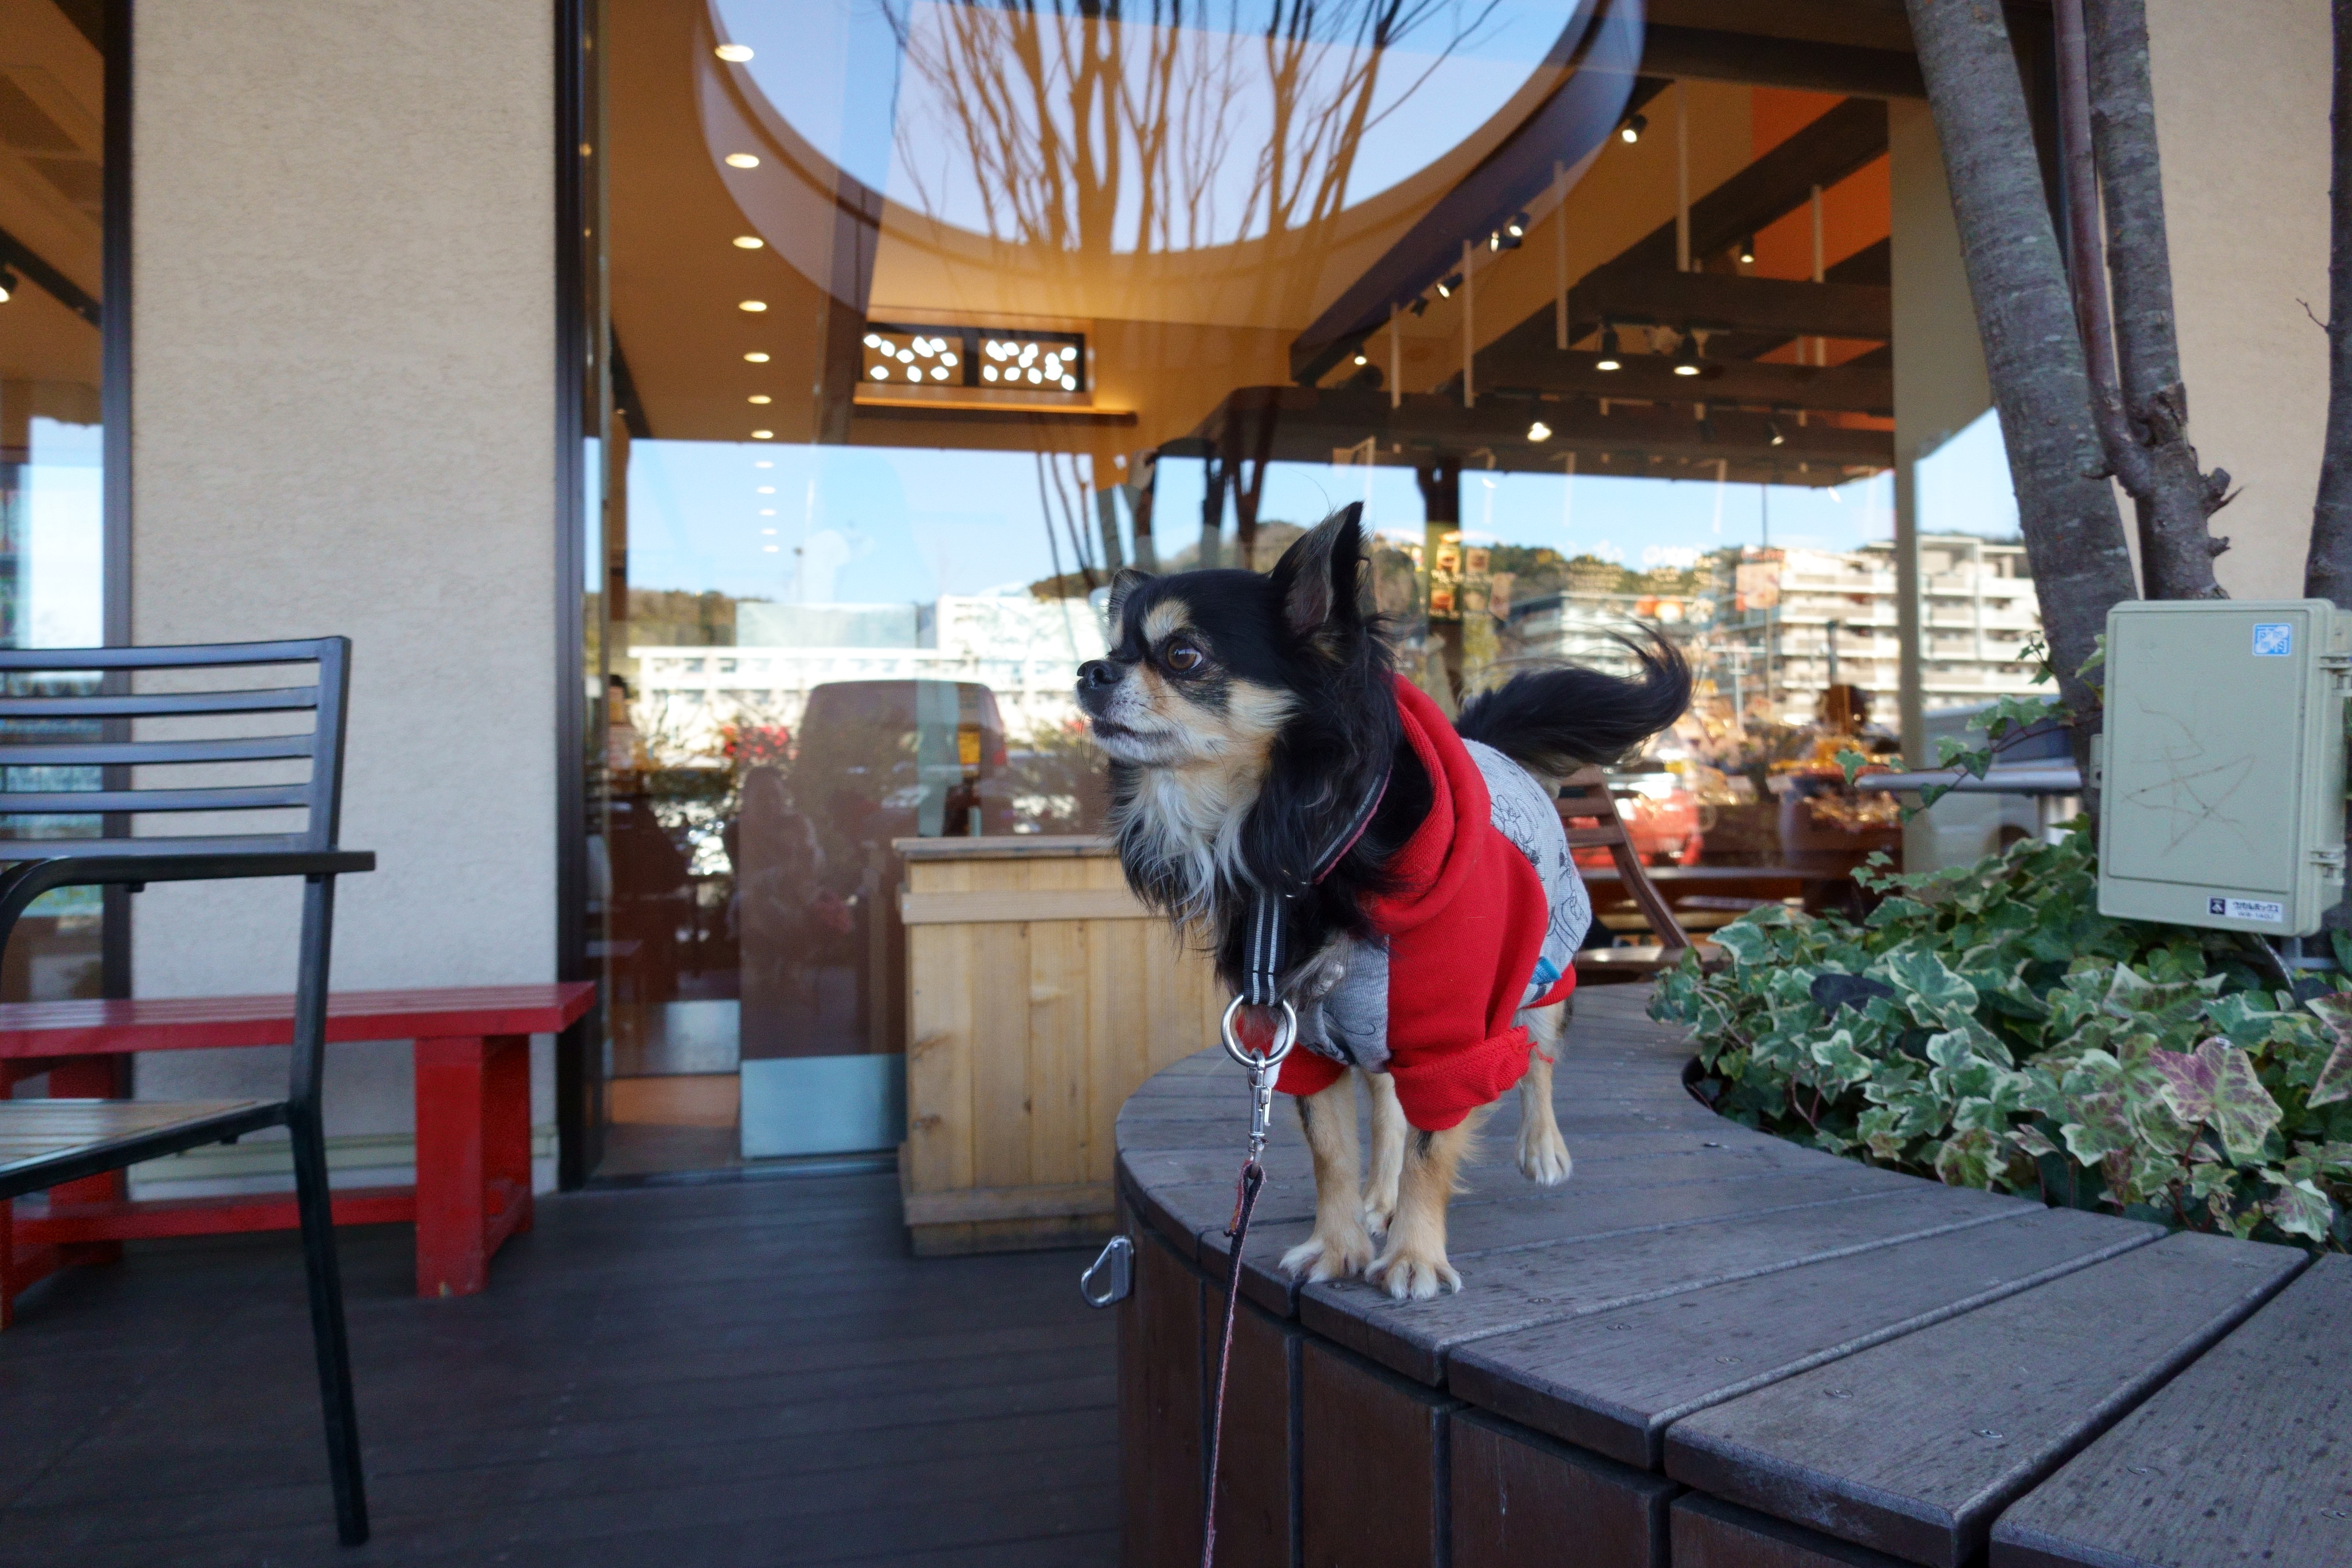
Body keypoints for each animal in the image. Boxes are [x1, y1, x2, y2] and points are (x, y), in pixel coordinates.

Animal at [1081, 505, 1693, 1297]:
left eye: (1183, 655)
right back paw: (1381, 1196)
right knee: (1390, 1104)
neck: (1299, 841)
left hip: (1546, 966)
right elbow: (1333, 1150)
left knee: (1539, 1055)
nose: (1088, 672)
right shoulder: (1293, 1033)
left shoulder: (1452, 1035)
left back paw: (1541, 1148)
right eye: (1114, 650)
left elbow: (1436, 1148)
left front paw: (1414, 1257)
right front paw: (1339, 1243)